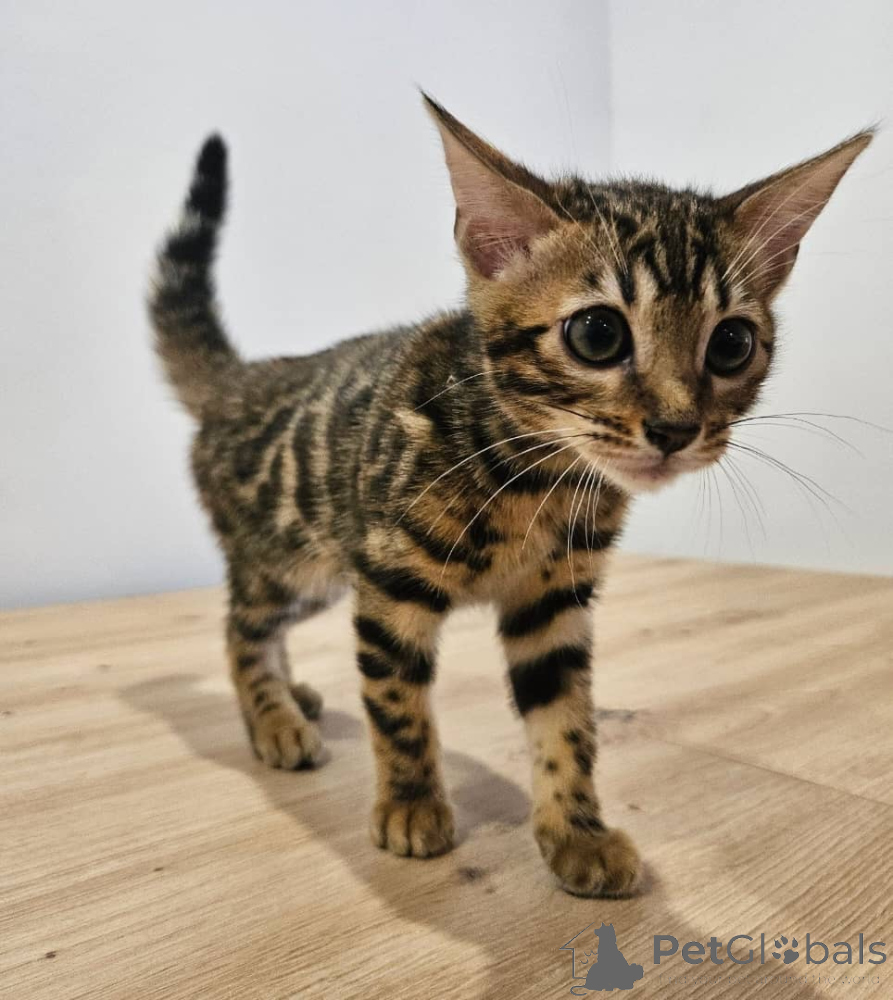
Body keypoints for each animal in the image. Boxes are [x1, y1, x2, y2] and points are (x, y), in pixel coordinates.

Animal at [149, 94, 871, 897]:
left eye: (732, 345)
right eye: (597, 334)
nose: (676, 429)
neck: (537, 481)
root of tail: (239, 380)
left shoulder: (550, 603)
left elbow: (565, 719)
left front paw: (575, 831)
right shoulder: (390, 585)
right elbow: (396, 703)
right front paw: (410, 803)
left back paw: (293, 697)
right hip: (293, 561)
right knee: (240, 629)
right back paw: (273, 719)